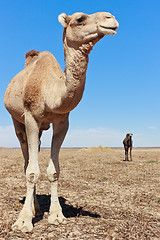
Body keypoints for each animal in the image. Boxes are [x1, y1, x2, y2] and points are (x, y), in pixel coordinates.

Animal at [3, 11, 119, 232]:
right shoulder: (31, 117)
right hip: (17, 122)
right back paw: (32, 209)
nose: (111, 18)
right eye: (80, 19)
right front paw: (23, 221)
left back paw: (37, 208)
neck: (52, 92)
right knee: (26, 161)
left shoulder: (62, 122)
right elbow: (32, 172)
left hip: (40, 129)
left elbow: (53, 171)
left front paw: (56, 215)